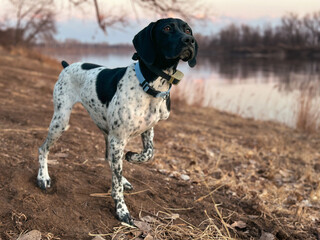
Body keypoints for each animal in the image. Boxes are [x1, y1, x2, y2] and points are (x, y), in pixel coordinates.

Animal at [37, 18, 198, 225]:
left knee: (111, 161)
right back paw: (43, 177)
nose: (189, 40)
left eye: (188, 30)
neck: (148, 84)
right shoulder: (118, 139)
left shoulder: (147, 130)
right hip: (61, 120)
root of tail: (68, 65)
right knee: (43, 148)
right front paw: (121, 210)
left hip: (105, 132)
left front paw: (132, 157)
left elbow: (149, 153)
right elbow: (117, 182)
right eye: (167, 28)